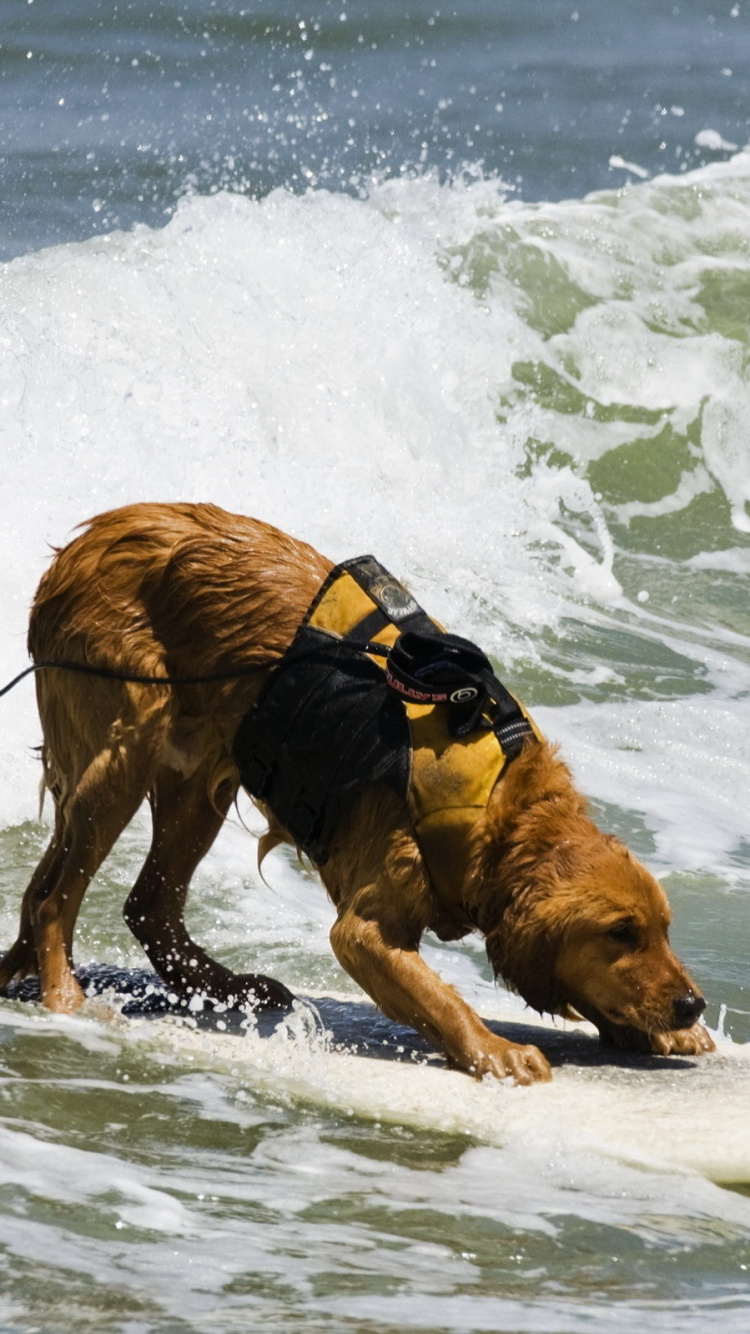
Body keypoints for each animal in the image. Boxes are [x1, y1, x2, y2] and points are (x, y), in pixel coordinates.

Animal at [0, 501, 709, 1083]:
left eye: (663, 931)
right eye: (620, 933)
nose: (693, 1002)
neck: (498, 809)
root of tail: (87, 539)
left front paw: (665, 1034)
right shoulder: (364, 929)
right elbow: (440, 998)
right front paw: (494, 1050)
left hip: (198, 776)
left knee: (140, 904)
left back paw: (227, 988)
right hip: (125, 745)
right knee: (56, 899)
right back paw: (66, 997)